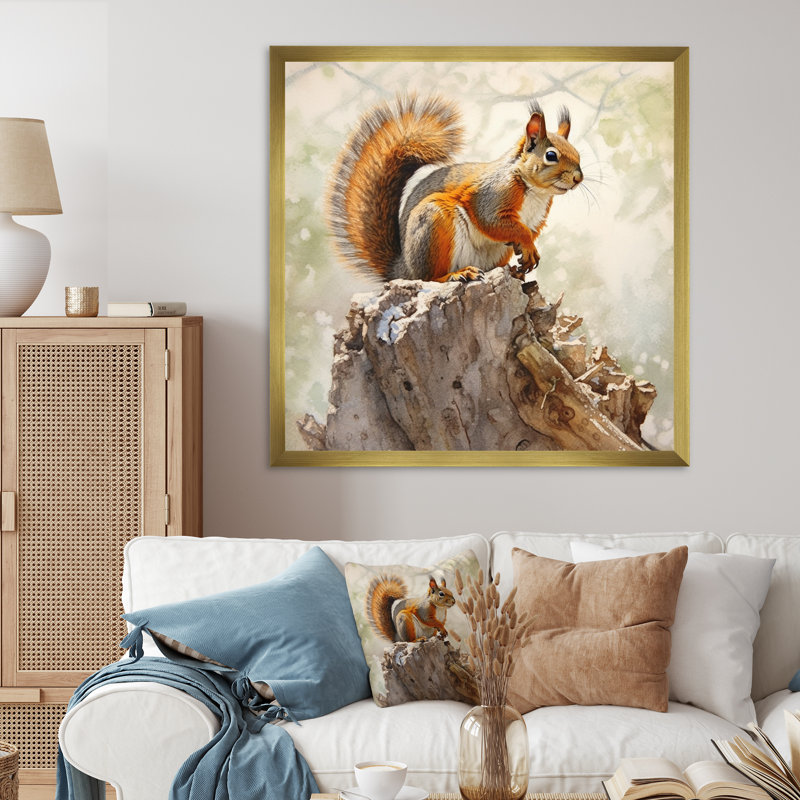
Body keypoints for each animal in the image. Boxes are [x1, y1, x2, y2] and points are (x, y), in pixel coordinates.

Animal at [327, 94, 583, 284]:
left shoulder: (536, 219)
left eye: (577, 154)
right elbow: (495, 222)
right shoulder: (491, 196)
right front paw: (527, 245)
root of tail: (404, 270)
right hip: (434, 222)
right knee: (429, 278)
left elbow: (525, 231)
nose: (578, 178)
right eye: (551, 155)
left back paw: (512, 272)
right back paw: (456, 274)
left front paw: (527, 253)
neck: (536, 192)